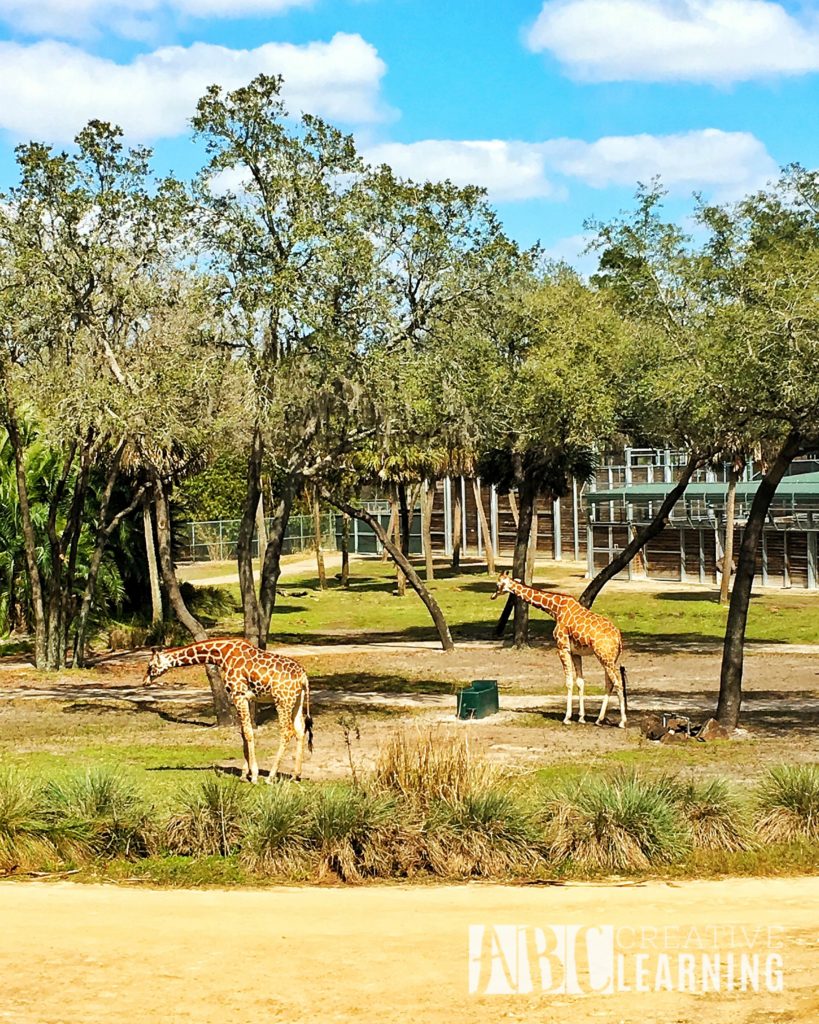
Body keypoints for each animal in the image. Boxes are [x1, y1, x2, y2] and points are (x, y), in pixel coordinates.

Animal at [142, 638, 311, 782]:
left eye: (150, 666)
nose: (144, 682)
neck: (222, 656)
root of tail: (303, 677)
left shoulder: (238, 695)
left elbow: (248, 732)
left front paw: (254, 775)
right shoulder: (246, 698)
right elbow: (243, 732)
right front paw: (244, 774)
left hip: (282, 700)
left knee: (287, 731)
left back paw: (270, 777)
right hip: (297, 700)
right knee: (300, 730)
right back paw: (295, 775)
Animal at [489, 569, 630, 729]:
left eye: (497, 584)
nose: (492, 596)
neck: (555, 609)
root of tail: (618, 637)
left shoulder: (562, 648)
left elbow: (568, 681)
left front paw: (567, 718)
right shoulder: (575, 653)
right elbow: (580, 682)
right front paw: (581, 717)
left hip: (605, 657)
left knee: (618, 683)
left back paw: (622, 722)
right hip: (609, 658)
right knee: (609, 683)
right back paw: (599, 719)